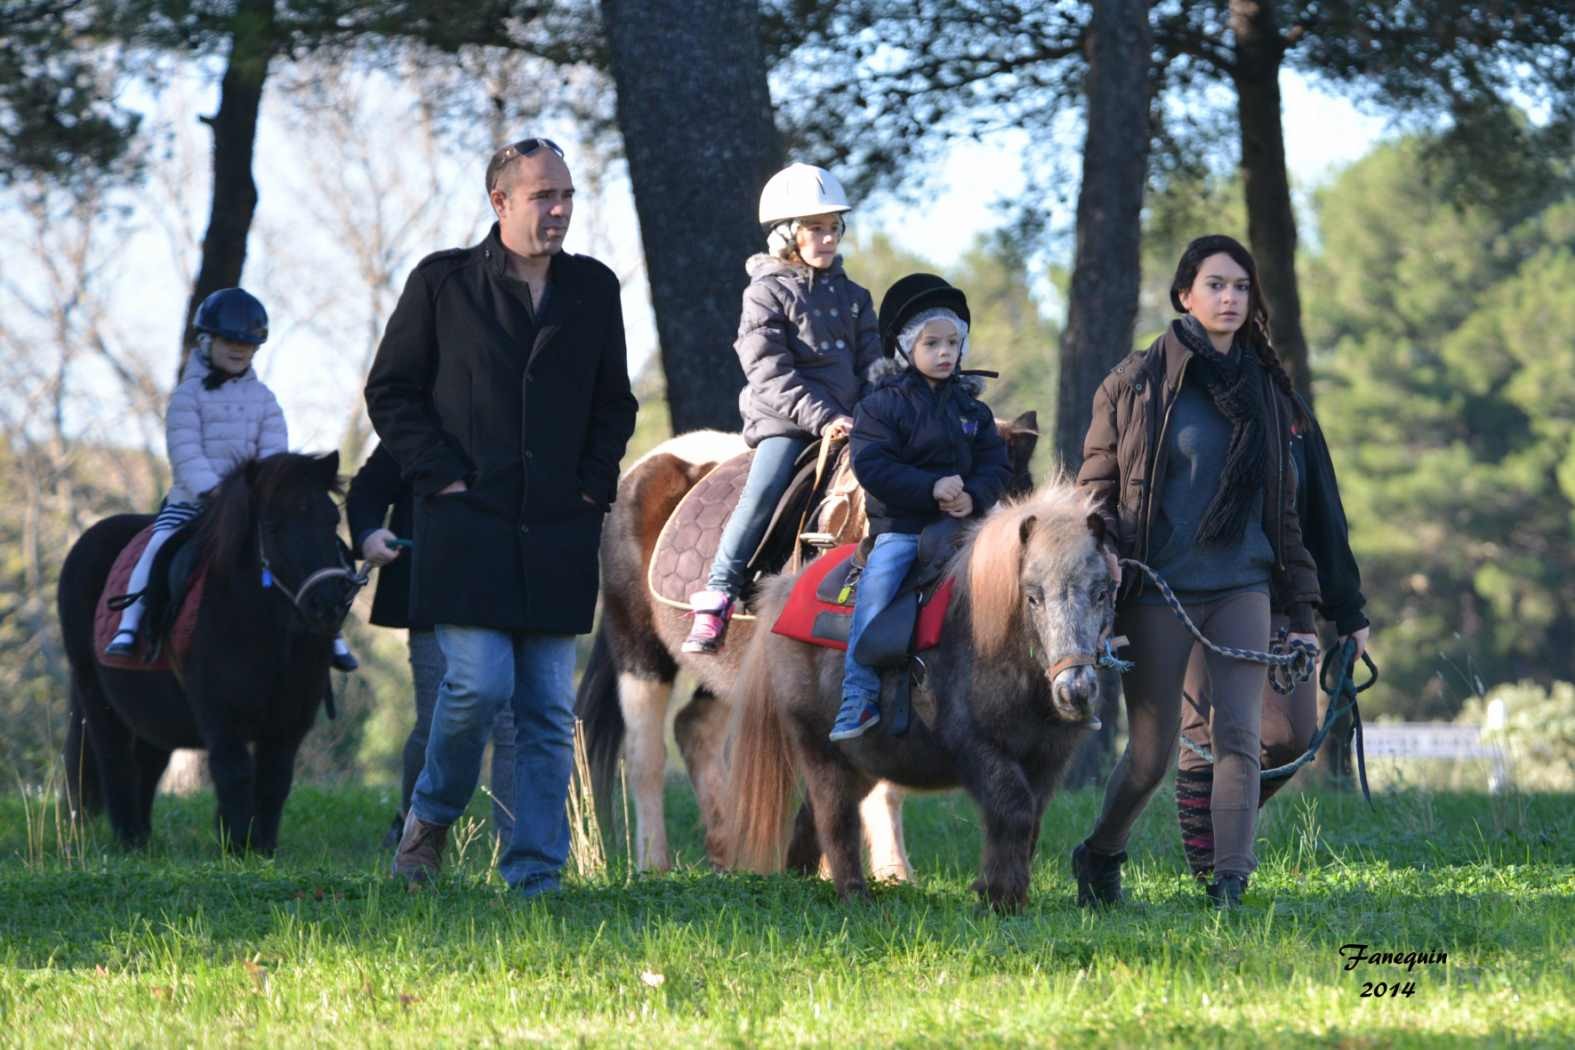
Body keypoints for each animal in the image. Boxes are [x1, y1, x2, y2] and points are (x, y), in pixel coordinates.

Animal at [724, 478, 1121, 913]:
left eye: (1102, 593)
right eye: (1033, 596)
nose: (1075, 692)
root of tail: (782, 592)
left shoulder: (1048, 759)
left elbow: (1030, 821)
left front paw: (1005, 894)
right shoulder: (978, 748)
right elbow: (1013, 809)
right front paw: (999, 897)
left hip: (859, 762)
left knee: (812, 817)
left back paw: (800, 879)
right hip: (818, 747)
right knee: (835, 817)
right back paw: (854, 894)